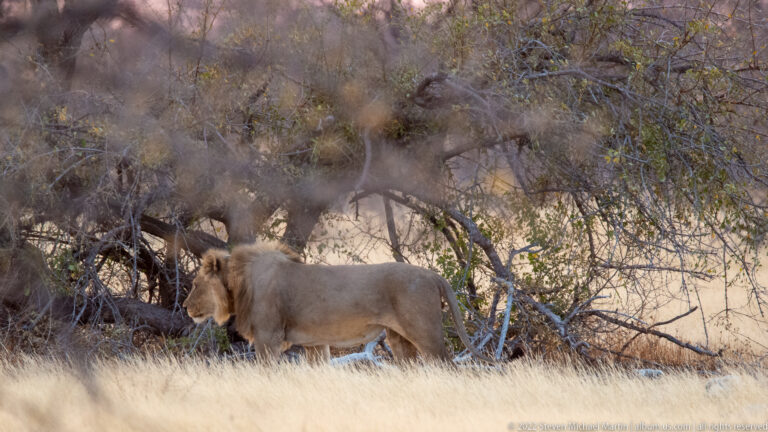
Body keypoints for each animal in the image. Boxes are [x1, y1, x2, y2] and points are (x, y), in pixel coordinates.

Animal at [183, 242, 493, 363]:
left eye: (195, 285)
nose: (185, 306)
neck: (240, 285)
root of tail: (433, 274)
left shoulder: (268, 338)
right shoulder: (315, 344)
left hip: (426, 334)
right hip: (400, 340)